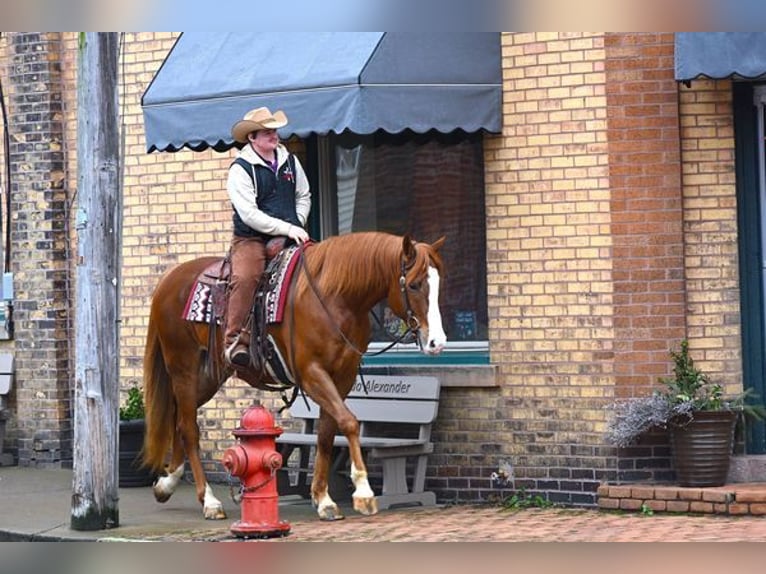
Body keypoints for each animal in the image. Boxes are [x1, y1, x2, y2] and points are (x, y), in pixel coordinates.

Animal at [142, 233, 450, 520]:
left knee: (179, 420)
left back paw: (167, 484)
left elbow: (327, 433)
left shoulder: (343, 376)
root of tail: (168, 281)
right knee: (189, 428)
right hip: (184, 369)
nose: (437, 342)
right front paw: (363, 493)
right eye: (414, 284)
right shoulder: (312, 373)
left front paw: (323, 498)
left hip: (207, 377)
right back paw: (209, 501)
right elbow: (349, 422)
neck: (334, 297)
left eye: (439, 284)